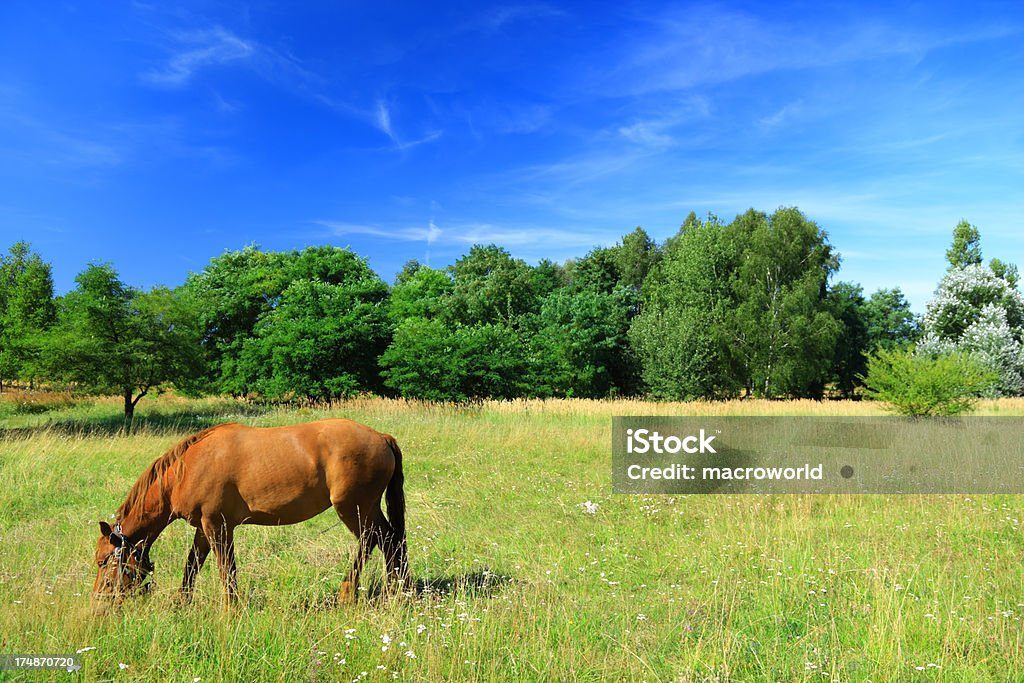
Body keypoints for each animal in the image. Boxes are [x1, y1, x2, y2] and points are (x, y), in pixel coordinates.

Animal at [92, 419, 409, 606]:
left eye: (103, 561)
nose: (99, 599)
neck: (187, 469)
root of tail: (382, 437)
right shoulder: (203, 529)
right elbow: (192, 565)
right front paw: (182, 603)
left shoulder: (217, 525)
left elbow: (226, 569)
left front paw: (231, 608)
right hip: (369, 508)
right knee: (391, 541)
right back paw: (397, 590)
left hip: (353, 508)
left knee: (372, 541)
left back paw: (348, 592)